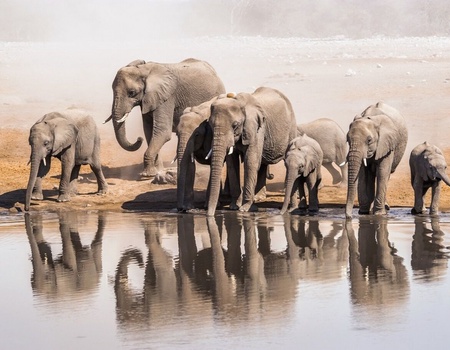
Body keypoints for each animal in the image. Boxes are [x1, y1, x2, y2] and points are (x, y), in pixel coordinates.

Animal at [207, 86, 298, 215]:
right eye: (210, 124)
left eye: (235, 125)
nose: (209, 215)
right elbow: (232, 163)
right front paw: (234, 206)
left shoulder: (257, 127)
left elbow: (251, 161)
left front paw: (245, 209)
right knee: (263, 162)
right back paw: (258, 198)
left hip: (291, 128)